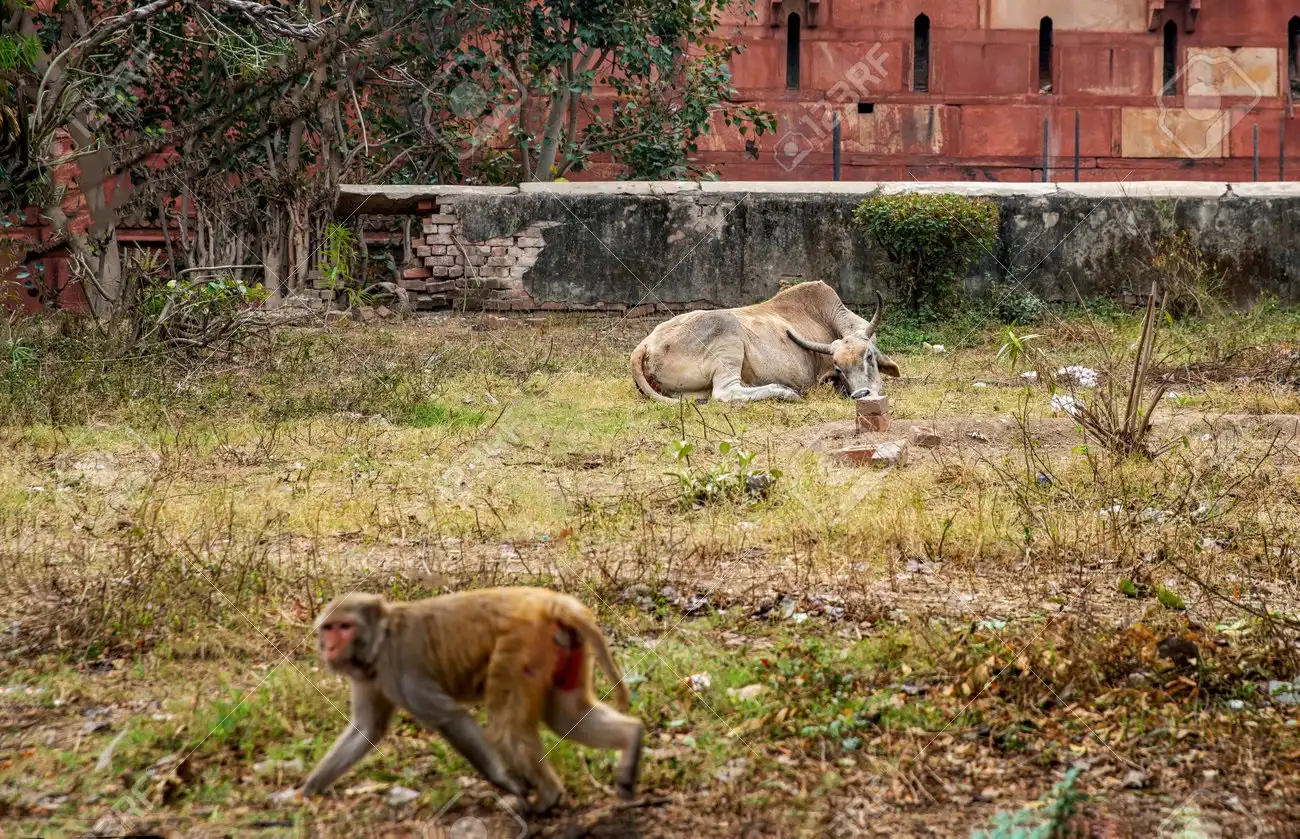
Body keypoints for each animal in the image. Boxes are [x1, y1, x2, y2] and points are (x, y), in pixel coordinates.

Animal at [298, 586, 644, 815]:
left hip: (521, 648)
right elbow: (367, 729)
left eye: (344, 627)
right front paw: (306, 790)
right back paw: (632, 738)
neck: (382, 636)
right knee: (567, 716)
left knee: (506, 729)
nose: (330, 646)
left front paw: (507, 782)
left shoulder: (400, 666)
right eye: (328, 628)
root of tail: (551, 603)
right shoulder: (369, 673)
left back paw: (547, 795)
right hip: (564, 649)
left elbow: (450, 717)